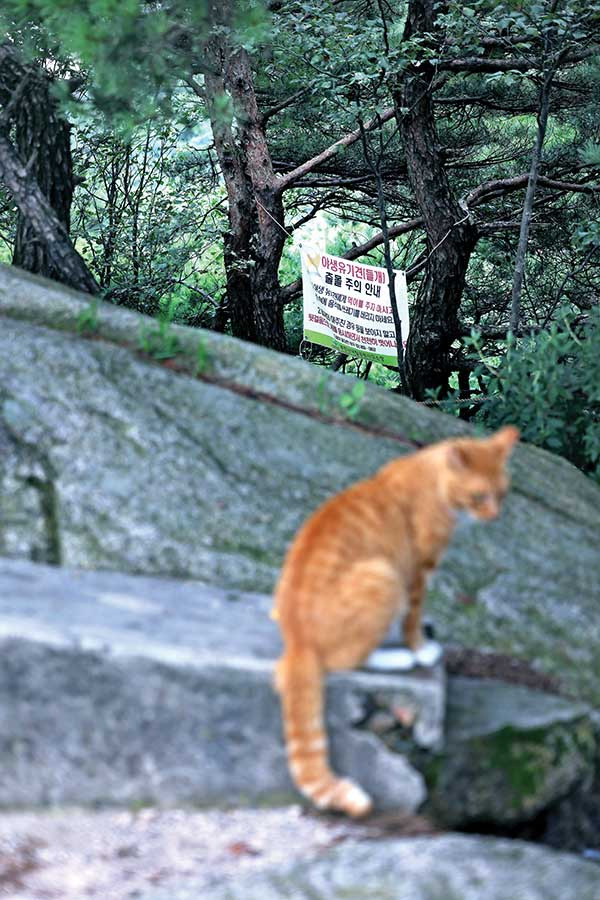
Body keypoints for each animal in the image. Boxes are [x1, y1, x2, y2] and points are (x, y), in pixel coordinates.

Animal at [274, 426, 516, 820]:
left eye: (502, 494)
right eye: (480, 495)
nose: (494, 516)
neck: (429, 476)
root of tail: (297, 640)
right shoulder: (417, 575)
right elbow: (412, 621)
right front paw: (419, 648)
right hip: (383, 577)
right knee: (347, 660)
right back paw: (398, 657)